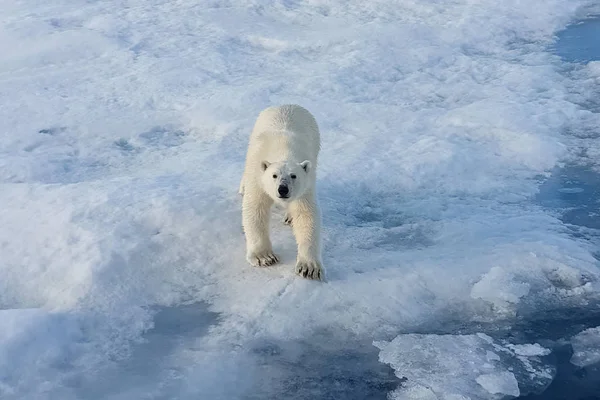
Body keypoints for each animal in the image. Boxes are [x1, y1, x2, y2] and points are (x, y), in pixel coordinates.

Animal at [238, 104, 324, 280]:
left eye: (294, 175)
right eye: (274, 175)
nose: (283, 189)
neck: (284, 149)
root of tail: (289, 104)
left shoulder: (305, 186)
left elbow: (306, 215)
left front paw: (308, 267)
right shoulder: (258, 178)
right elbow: (256, 210)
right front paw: (264, 257)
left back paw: (289, 217)